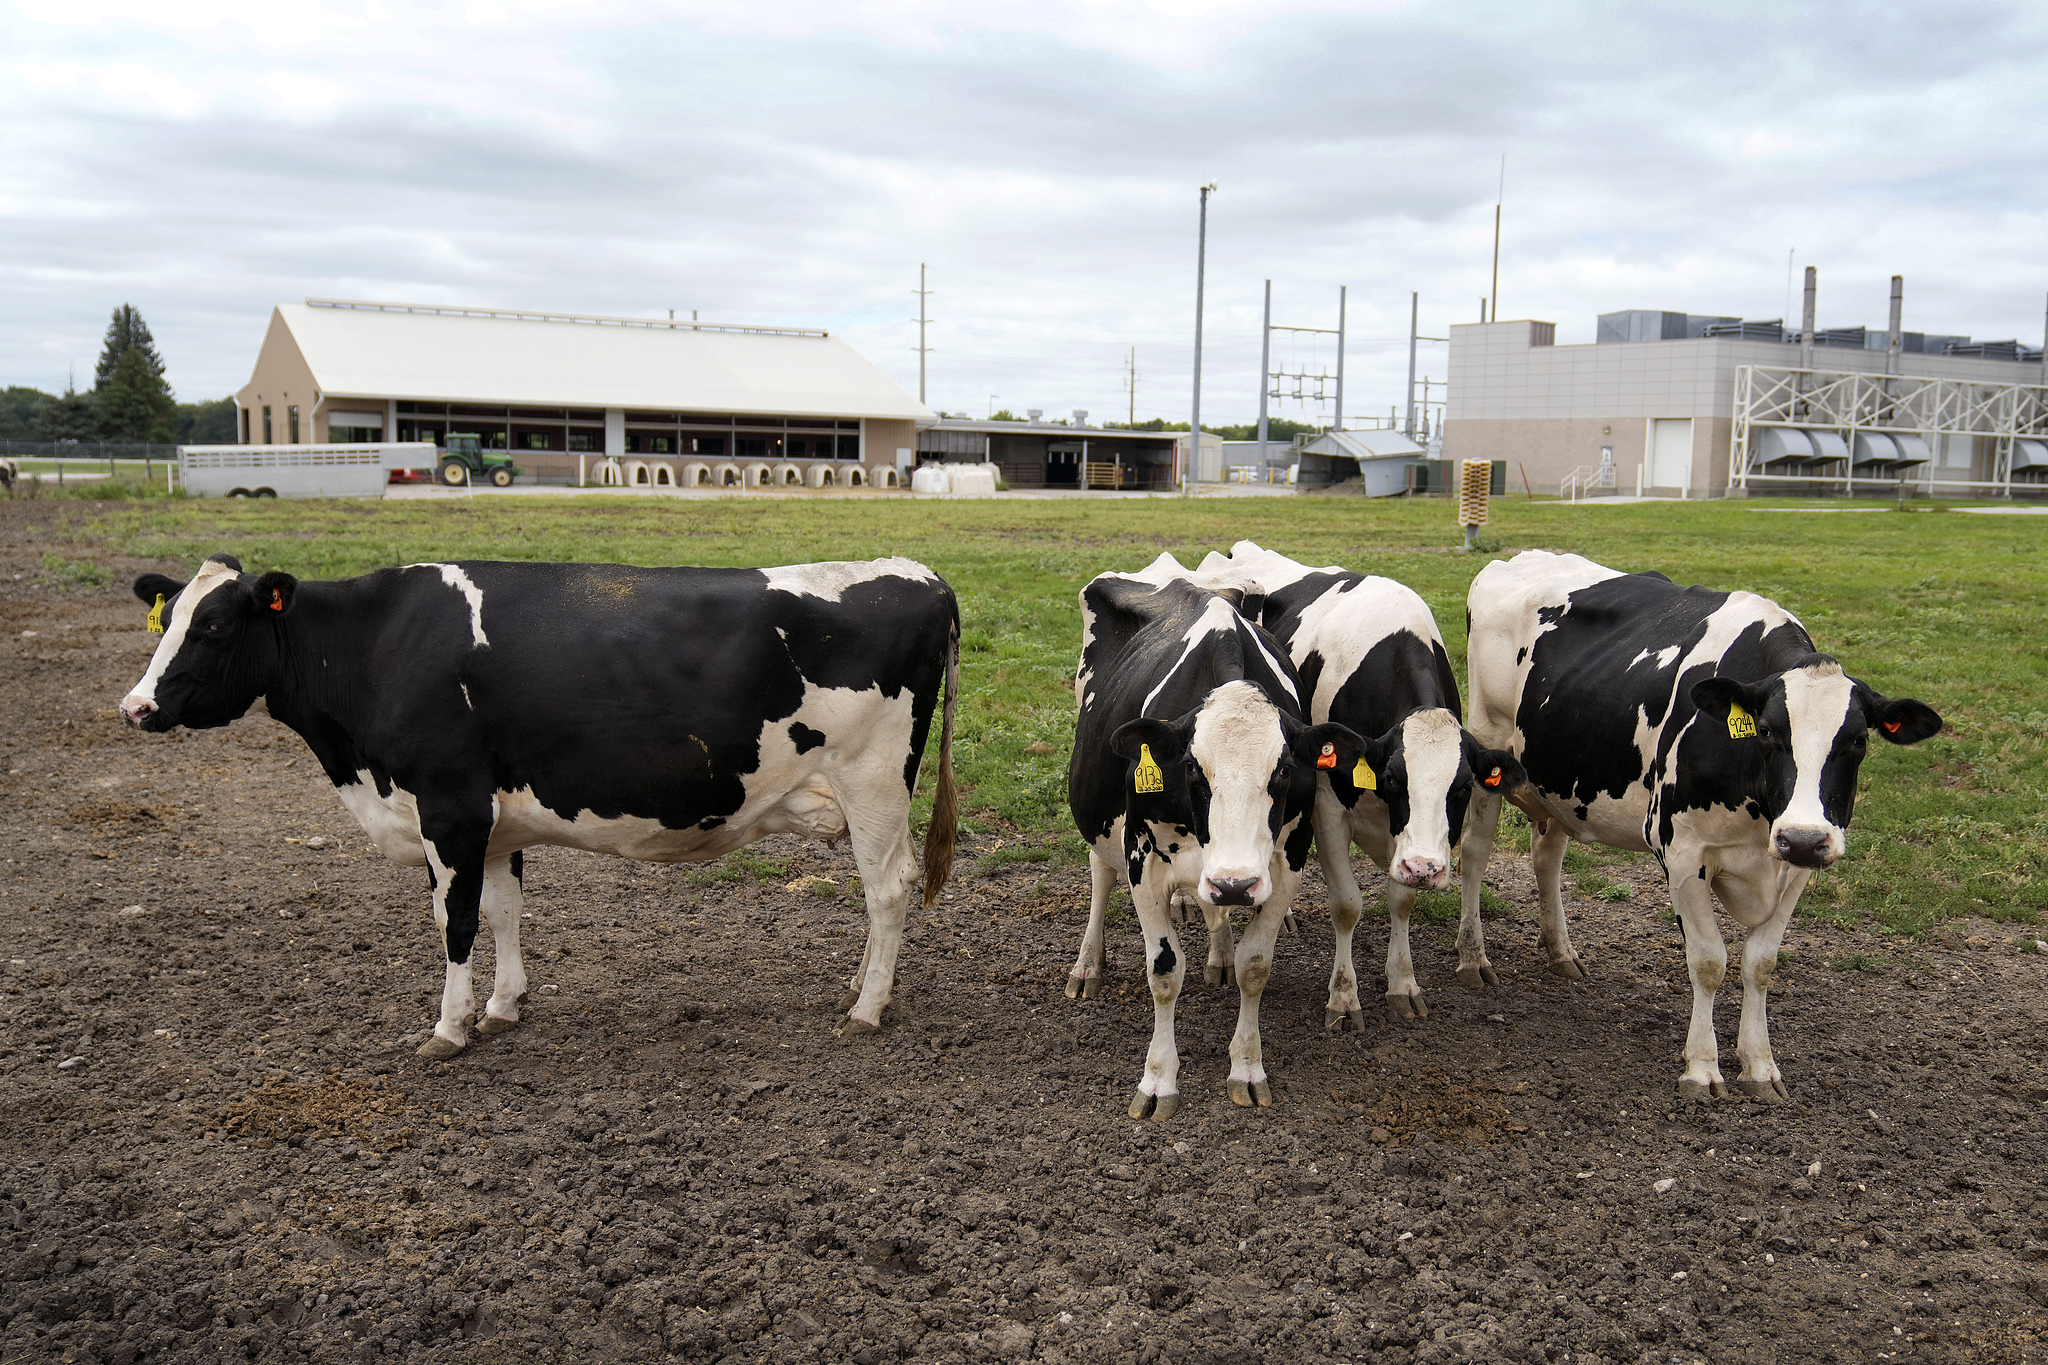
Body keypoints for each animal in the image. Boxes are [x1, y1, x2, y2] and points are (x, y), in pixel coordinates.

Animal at [121, 556, 958, 1055]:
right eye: (168, 617)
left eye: (214, 625)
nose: (136, 706)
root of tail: (919, 573)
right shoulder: (493, 819)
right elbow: (504, 909)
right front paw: (503, 1004)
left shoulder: (449, 806)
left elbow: (454, 921)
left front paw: (449, 1026)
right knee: (878, 891)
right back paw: (860, 983)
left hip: (873, 778)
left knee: (889, 886)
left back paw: (867, 1007)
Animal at [1196, 540, 1523, 1023]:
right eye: (1392, 778)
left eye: (1463, 788)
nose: (1426, 869)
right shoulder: (1327, 807)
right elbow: (1347, 905)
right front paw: (1344, 997)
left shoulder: (1404, 842)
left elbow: (1401, 900)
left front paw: (1403, 983)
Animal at [1458, 552, 1933, 1096]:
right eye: (1766, 731)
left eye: (1858, 740)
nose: (1803, 838)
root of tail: (1518, 558)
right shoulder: (1682, 852)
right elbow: (1708, 961)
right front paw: (1702, 1067)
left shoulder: (1797, 866)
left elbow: (1760, 964)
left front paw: (1760, 1065)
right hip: (1487, 750)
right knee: (1474, 856)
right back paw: (1472, 958)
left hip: (1561, 781)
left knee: (1547, 858)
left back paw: (1560, 952)